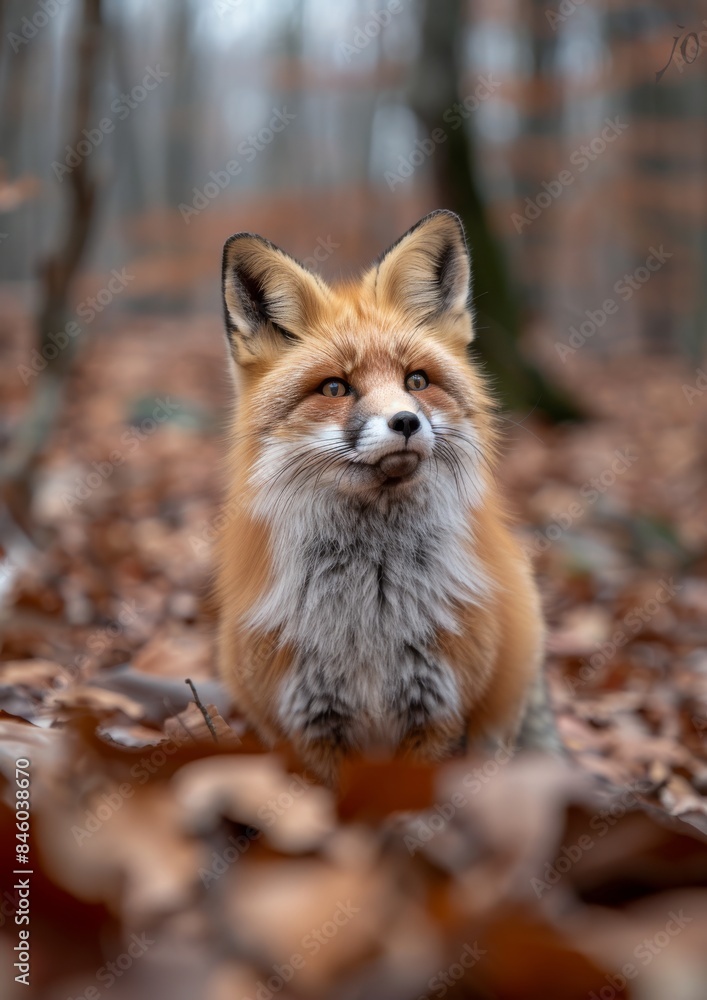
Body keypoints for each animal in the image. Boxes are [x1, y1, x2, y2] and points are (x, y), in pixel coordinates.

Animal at [216, 209, 559, 786]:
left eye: (416, 381)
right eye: (335, 388)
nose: (405, 421)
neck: (372, 609)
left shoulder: (440, 711)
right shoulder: (309, 723)